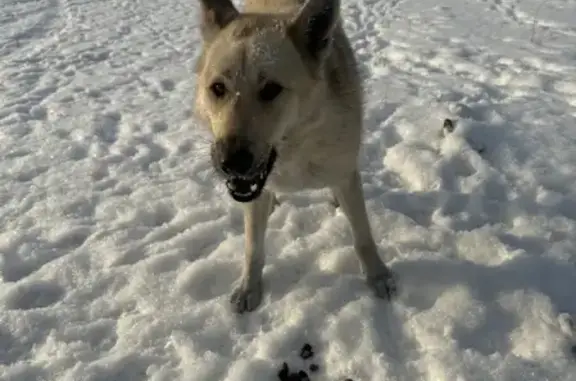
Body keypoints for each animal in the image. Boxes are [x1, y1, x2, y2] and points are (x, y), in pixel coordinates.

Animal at [194, 0, 396, 312]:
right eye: (218, 88)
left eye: (271, 89)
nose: (231, 163)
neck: (294, 152)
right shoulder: (253, 194)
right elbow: (253, 247)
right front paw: (249, 287)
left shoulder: (345, 174)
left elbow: (363, 235)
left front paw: (377, 275)